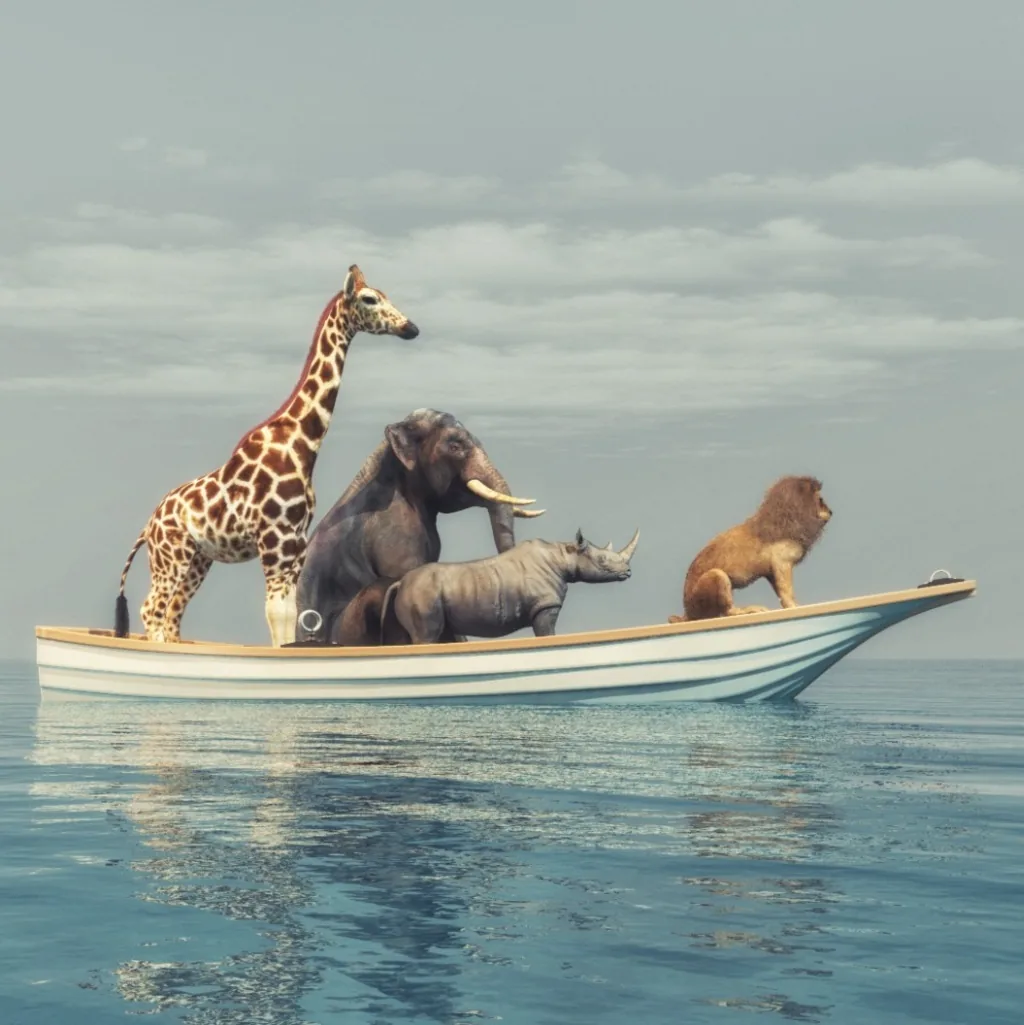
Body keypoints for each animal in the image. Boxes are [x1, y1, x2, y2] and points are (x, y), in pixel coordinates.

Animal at [113, 264, 420, 647]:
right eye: (369, 299)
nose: (411, 328)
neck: (303, 444)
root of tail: (149, 525)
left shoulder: (295, 547)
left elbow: (289, 614)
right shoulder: (276, 542)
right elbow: (276, 614)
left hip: (198, 560)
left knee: (170, 616)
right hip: (172, 557)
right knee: (151, 610)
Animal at [668, 475, 832, 623]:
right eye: (820, 500)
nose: (831, 511)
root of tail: (687, 613)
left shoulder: (771, 571)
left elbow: (781, 592)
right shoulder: (782, 563)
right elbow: (787, 591)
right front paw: (794, 607)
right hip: (717, 575)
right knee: (728, 611)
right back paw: (748, 610)